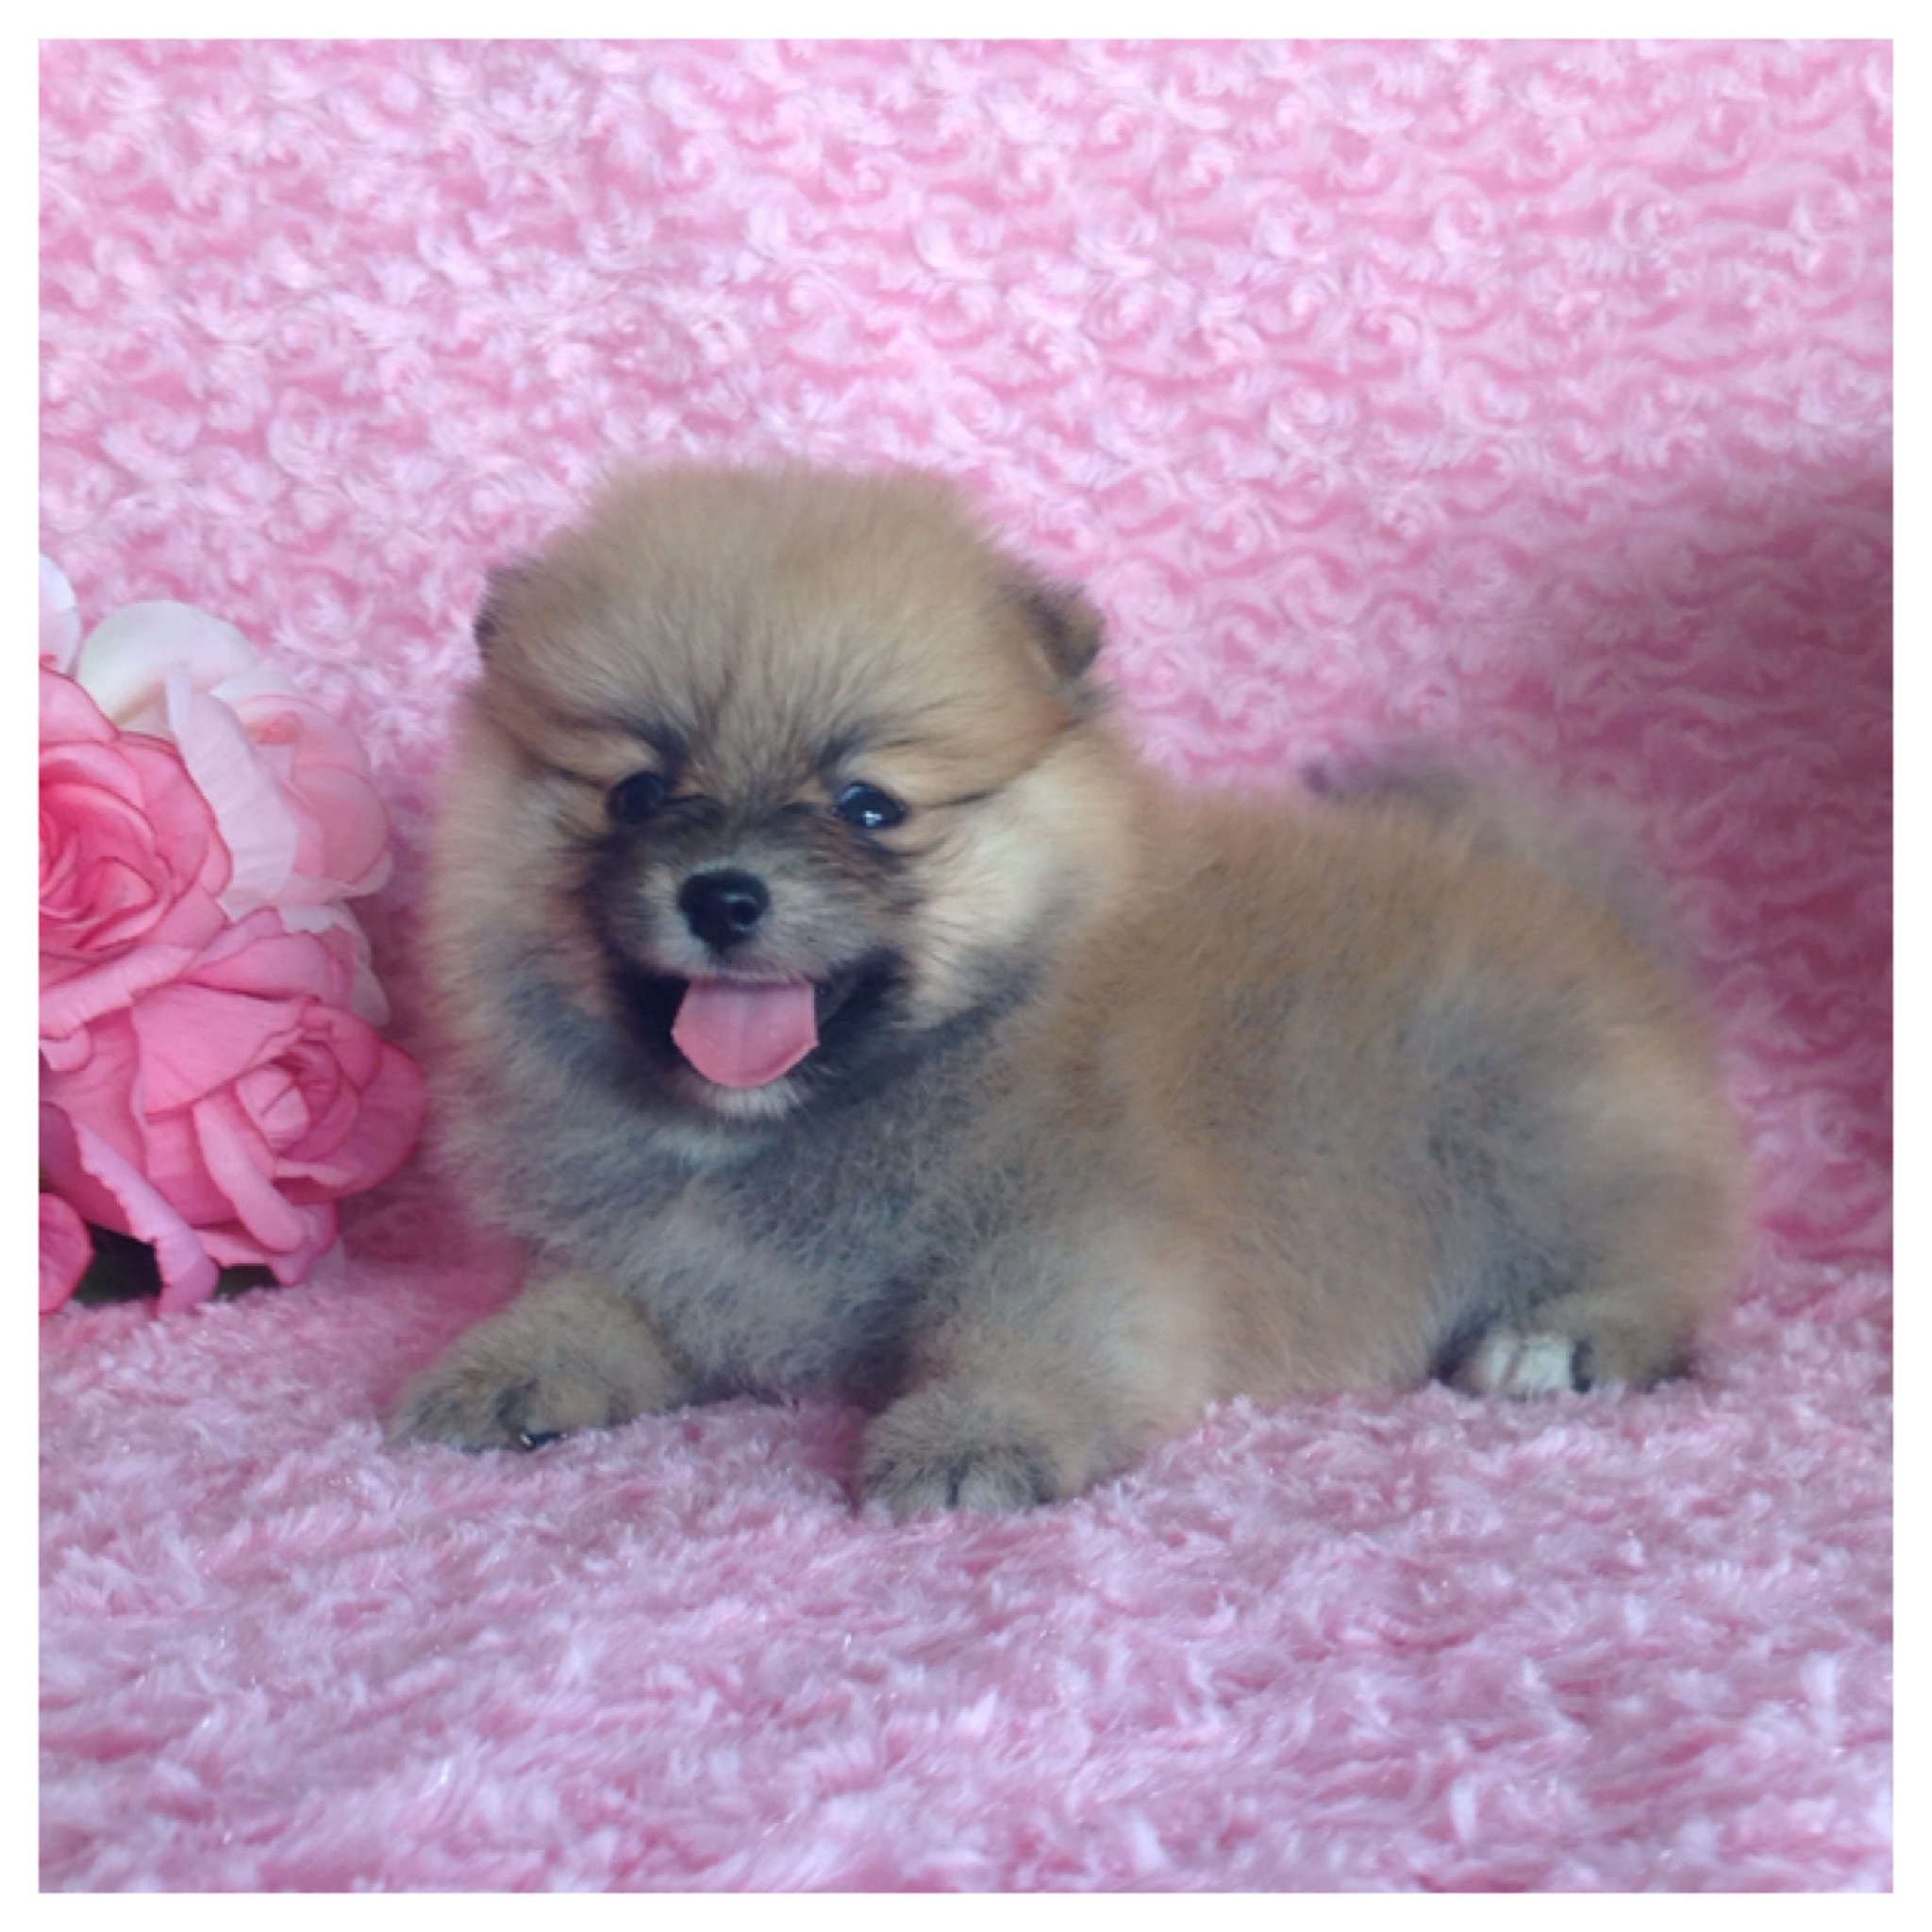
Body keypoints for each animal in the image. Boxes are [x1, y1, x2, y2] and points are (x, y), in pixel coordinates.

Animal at [390, 464, 1746, 1514]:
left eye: (868, 807)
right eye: (633, 793)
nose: (722, 895)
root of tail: (1589, 916)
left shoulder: (1075, 1232)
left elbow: (1033, 1334)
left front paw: (971, 1435)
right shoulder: (658, 1259)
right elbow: (585, 1302)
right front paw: (500, 1365)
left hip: (1532, 1139)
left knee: (1666, 1259)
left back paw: (1556, 1339)